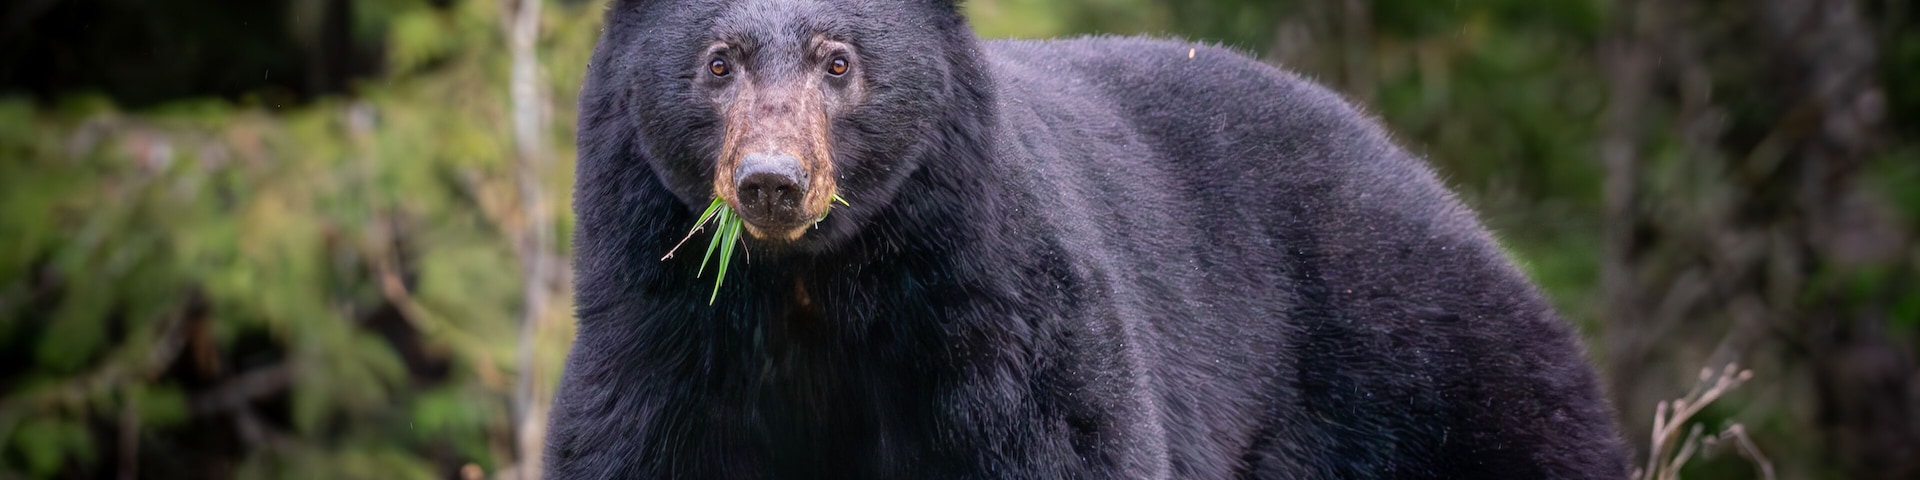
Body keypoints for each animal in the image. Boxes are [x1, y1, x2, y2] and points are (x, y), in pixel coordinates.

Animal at [546, 0, 1630, 478]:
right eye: (718, 61)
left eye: (838, 61)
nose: (772, 182)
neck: (808, 289)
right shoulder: (665, 336)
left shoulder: (995, 326)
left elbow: (1068, 440)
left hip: (1431, 379)